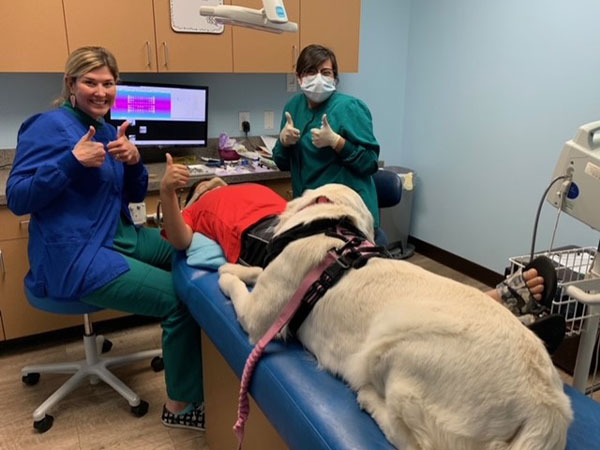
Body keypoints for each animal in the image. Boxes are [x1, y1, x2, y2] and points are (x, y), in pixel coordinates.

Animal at [218, 183, 576, 450]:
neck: (333, 230)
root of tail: (547, 408)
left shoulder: (259, 317)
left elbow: (235, 288)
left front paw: (226, 273)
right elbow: (255, 271)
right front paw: (240, 267)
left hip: (395, 348)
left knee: (414, 441)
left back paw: (369, 400)